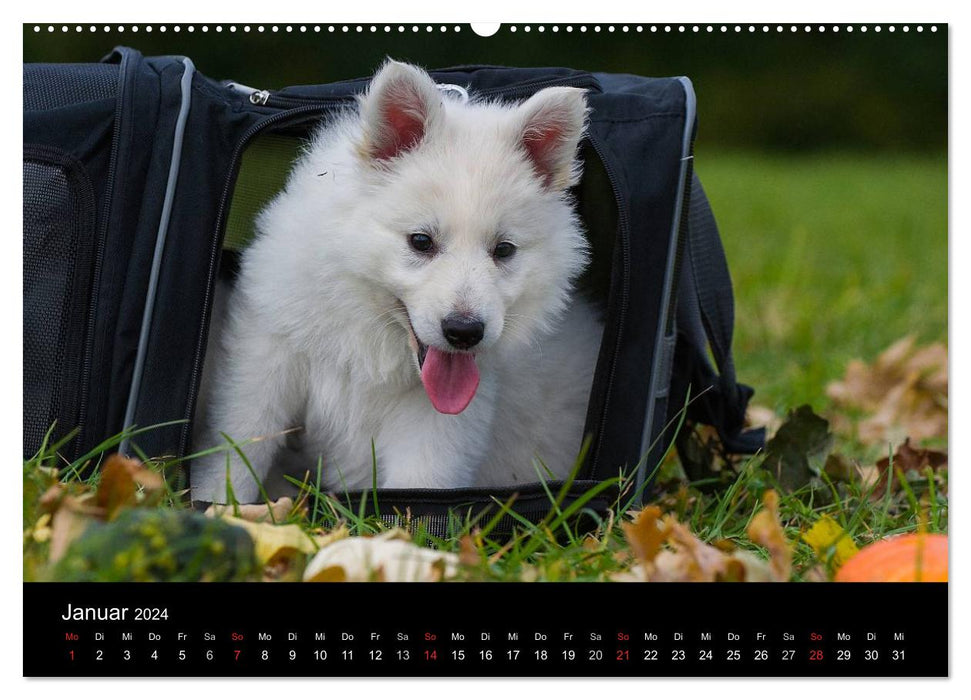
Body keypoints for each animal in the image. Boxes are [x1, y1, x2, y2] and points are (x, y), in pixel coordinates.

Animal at [191, 57, 604, 500]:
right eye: (421, 241)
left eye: (504, 250)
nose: (464, 332)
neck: (373, 340)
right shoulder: (266, 358)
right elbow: (238, 447)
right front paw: (215, 504)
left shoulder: (442, 421)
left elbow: (419, 486)